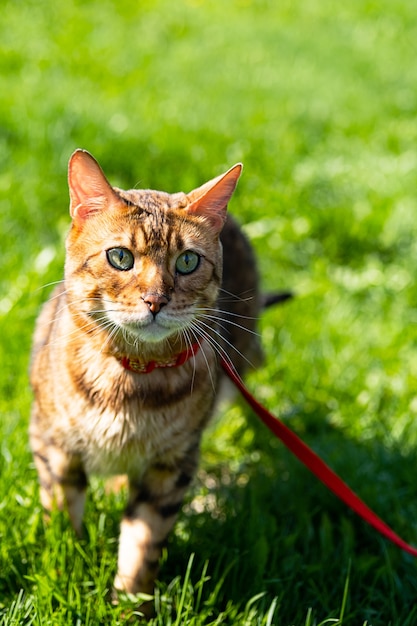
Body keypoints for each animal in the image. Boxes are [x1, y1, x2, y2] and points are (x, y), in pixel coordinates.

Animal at [29, 150, 286, 608]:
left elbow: (143, 544)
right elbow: (61, 522)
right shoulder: (52, 445)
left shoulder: (171, 465)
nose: (155, 300)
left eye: (187, 261)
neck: (131, 384)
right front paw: (65, 576)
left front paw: (130, 605)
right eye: (120, 257)